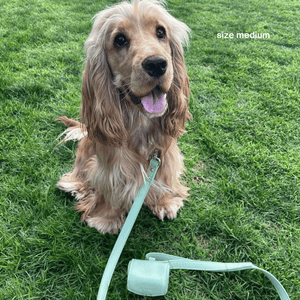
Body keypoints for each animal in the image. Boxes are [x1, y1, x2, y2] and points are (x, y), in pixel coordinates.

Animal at [56, 0, 192, 234]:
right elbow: (109, 186)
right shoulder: (110, 164)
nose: (156, 64)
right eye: (119, 40)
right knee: (78, 174)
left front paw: (165, 202)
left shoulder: (165, 154)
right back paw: (76, 187)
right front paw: (106, 218)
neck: (140, 119)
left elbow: (165, 176)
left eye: (161, 32)